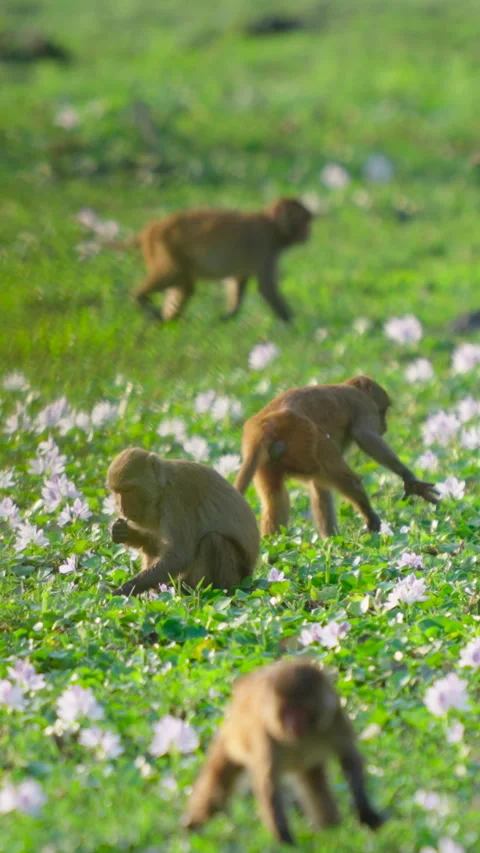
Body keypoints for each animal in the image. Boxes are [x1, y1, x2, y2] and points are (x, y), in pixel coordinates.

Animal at [105, 198, 313, 323]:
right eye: (304, 222)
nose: (308, 234)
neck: (272, 226)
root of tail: (150, 229)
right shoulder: (265, 247)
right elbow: (266, 288)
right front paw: (291, 324)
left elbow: (238, 281)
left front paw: (228, 316)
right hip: (163, 247)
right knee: (172, 273)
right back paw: (140, 298)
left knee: (185, 285)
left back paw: (167, 320)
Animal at [106, 447, 260, 597]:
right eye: (116, 491)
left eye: (129, 489)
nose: (121, 508)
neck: (161, 487)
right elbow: (156, 542)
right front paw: (121, 531)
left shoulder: (176, 500)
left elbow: (180, 556)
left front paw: (122, 591)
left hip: (236, 578)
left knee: (213, 540)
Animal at [184, 659, 385, 845]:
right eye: (286, 711)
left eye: (301, 710)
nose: (293, 726)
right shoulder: (265, 736)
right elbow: (268, 784)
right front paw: (284, 839)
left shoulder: (335, 718)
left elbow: (349, 759)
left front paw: (365, 810)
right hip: (231, 739)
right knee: (216, 785)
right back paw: (192, 828)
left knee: (315, 786)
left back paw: (331, 832)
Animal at [234, 374, 439, 538]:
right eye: (384, 411)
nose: (385, 425)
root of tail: (265, 427)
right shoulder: (362, 404)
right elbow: (364, 436)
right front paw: (408, 478)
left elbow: (320, 490)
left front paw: (330, 540)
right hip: (307, 437)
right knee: (348, 479)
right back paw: (369, 516)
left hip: (272, 460)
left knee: (275, 497)